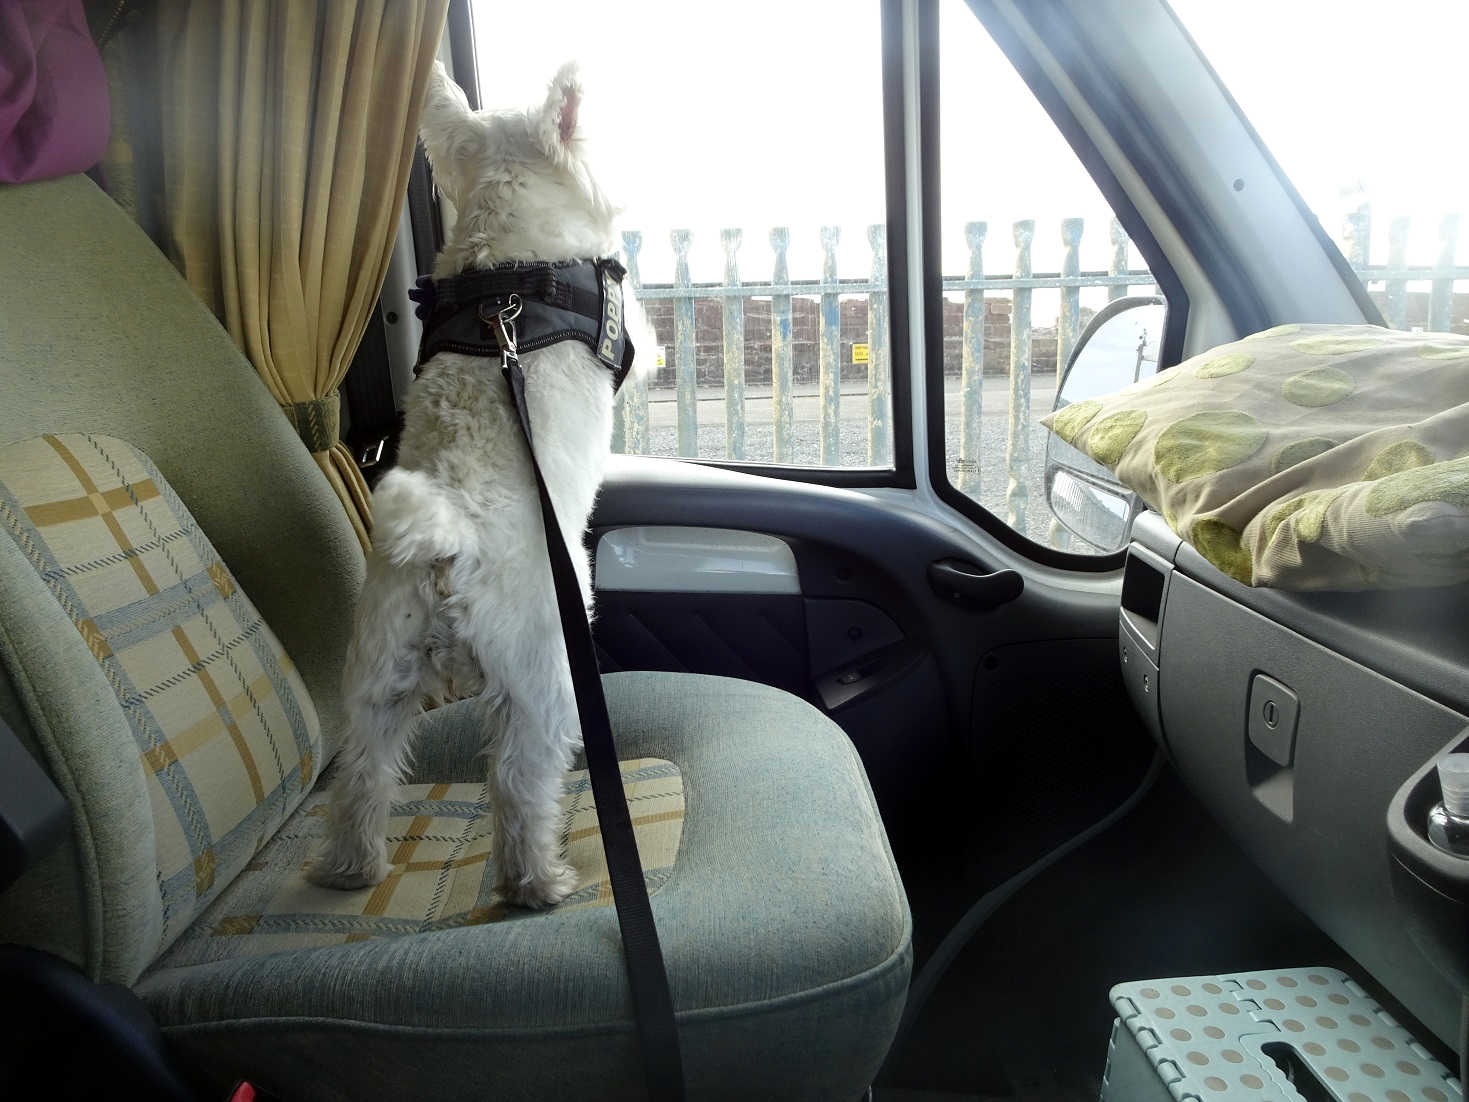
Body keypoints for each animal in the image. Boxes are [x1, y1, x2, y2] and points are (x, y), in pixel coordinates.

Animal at [309, 58, 637, 905]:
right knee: (519, 782)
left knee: (360, 777)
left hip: (375, 676)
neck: (505, 275)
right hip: (541, 677)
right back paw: (539, 881)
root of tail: (446, 541)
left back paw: (349, 868)